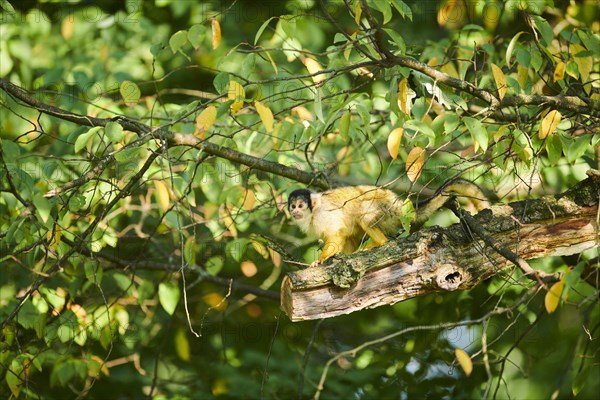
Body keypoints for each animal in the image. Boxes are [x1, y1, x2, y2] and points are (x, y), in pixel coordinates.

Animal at [288, 180, 490, 268]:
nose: (295, 211)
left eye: (300, 205)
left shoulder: (323, 215)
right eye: (293, 206)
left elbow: (337, 232)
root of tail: (401, 206)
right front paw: (342, 256)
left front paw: (321, 259)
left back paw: (380, 242)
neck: (313, 213)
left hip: (387, 210)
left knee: (364, 213)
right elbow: (345, 235)